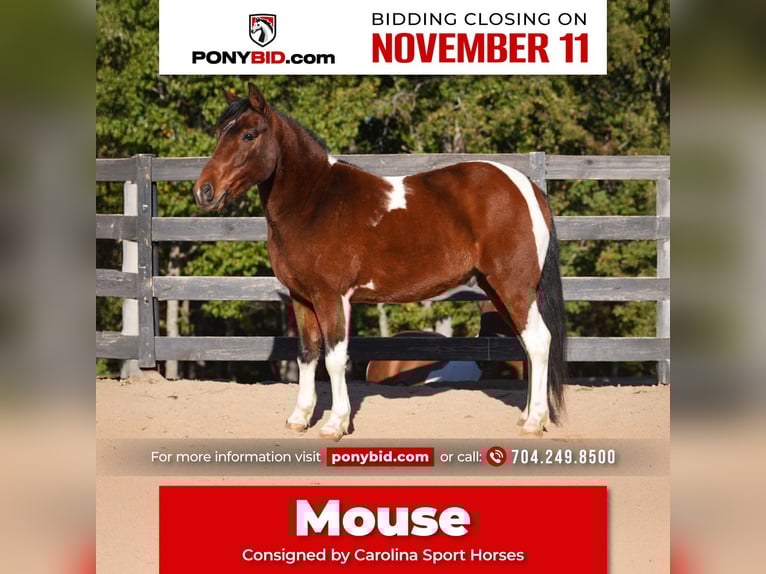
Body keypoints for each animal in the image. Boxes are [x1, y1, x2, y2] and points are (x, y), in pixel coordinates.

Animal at [193, 83, 567, 440]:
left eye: (249, 135)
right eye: (220, 132)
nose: (203, 191)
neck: (315, 203)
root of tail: (526, 187)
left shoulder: (332, 297)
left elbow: (334, 357)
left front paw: (335, 424)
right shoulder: (302, 298)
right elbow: (307, 354)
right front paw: (299, 419)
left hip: (513, 286)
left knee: (539, 342)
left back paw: (534, 422)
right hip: (497, 289)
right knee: (528, 344)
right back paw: (526, 416)